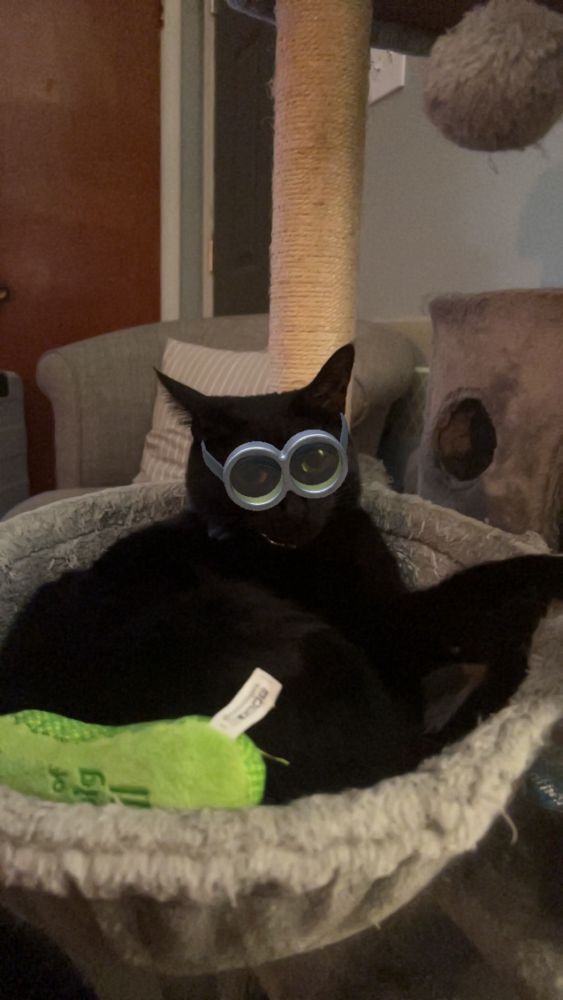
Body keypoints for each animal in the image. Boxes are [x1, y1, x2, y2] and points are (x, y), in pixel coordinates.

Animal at [1, 344, 562, 804]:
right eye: (252, 477)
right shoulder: (387, 626)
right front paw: (547, 573)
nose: (292, 511)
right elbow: (483, 583)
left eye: (314, 462)